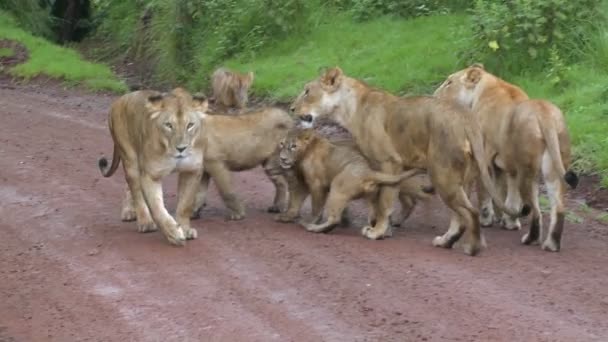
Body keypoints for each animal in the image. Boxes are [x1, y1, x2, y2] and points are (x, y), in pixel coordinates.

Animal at [97, 87, 207, 244]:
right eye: (169, 125)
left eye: (190, 125)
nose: (181, 149)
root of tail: (119, 100)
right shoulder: (151, 175)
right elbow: (157, 208)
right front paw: (173, 233)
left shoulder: (192, 171)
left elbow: (185, 205)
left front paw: (185, 229)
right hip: (130, 158)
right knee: (135, 189)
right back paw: (144, 222)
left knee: (128, 186)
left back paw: (129, 211)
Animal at [290, 67, 528, 255]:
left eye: (307, 91)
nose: (291, 109)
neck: (349, 108)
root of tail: (466, 119)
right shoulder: (379, 166)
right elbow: (377, 199)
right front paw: (382, 228)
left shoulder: (389, 162)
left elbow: (385, 201)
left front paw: (377, 231)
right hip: (463, 177)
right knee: (459, 215)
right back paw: (445, 241)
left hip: (443, 174)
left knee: (470, 212)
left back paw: (472, 248)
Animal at [434, 63, 576, 251]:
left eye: (449, 82)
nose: (434, 95)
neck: (487, 86)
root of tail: (544, 114)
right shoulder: (507, 166)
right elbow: (508, 195)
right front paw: (509, 221)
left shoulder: (485, 158)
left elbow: (486, 193)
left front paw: (487, 219)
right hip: (553, 169)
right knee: (558, 208)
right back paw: (551, 244)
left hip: (527, 171)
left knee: (536, 211)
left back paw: (531, 239)